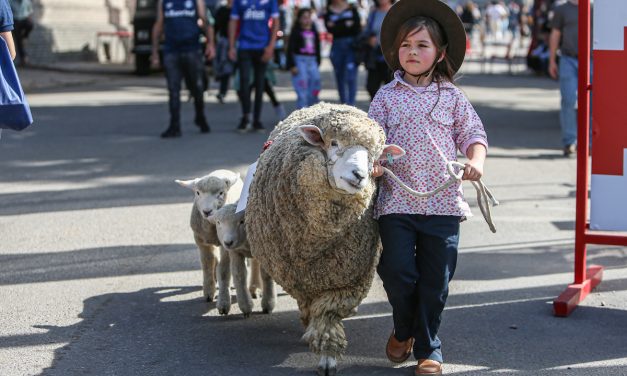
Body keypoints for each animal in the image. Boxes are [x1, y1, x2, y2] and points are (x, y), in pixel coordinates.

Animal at [248, 103, 404, 376]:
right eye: (333, 143)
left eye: (375, 157)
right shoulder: (299, 278)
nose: (359, 175)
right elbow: (309, 306)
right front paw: (312, 331)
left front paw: (328, 356)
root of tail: (323, 104)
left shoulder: (348, 279)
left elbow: (328, 313)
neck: (316, 241)